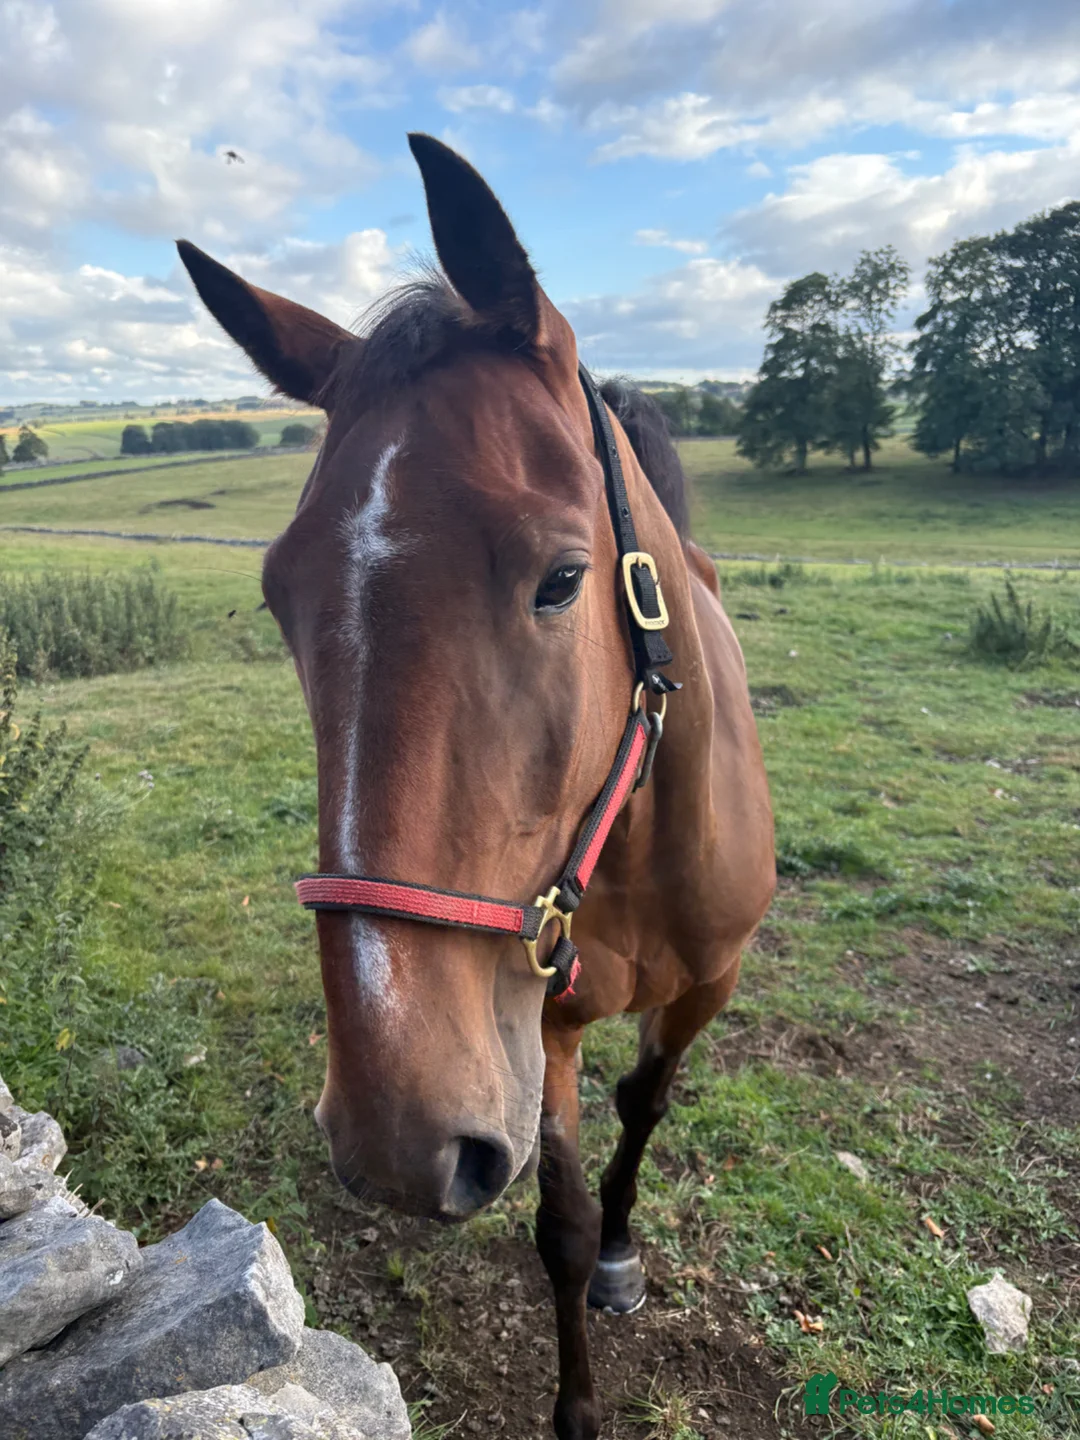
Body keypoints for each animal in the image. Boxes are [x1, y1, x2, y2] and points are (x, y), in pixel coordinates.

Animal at [178, 133, 775, 1440]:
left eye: (561, 579)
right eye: (278, 598)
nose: (396, 1140)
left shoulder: (707, 984)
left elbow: (646, 1108)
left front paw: (623, 1258)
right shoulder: (533, 1027)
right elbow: (558, 1221)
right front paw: (578, 1400)